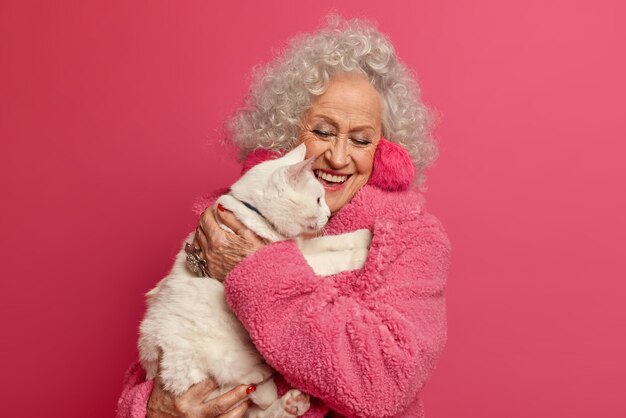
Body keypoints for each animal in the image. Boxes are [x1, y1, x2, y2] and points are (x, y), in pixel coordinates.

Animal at [138, 145, 368, 418]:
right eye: (318, 200)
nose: (328, 214)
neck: (256, 215)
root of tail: (153, 355)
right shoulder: (299, 258)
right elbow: (332, 258)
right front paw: (360, 255)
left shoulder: (301, 247)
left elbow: (334, 240)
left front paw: (366, 235)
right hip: (216, 363)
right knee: (246, 388)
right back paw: (262, 373)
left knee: (260, 410)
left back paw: (292, 402)